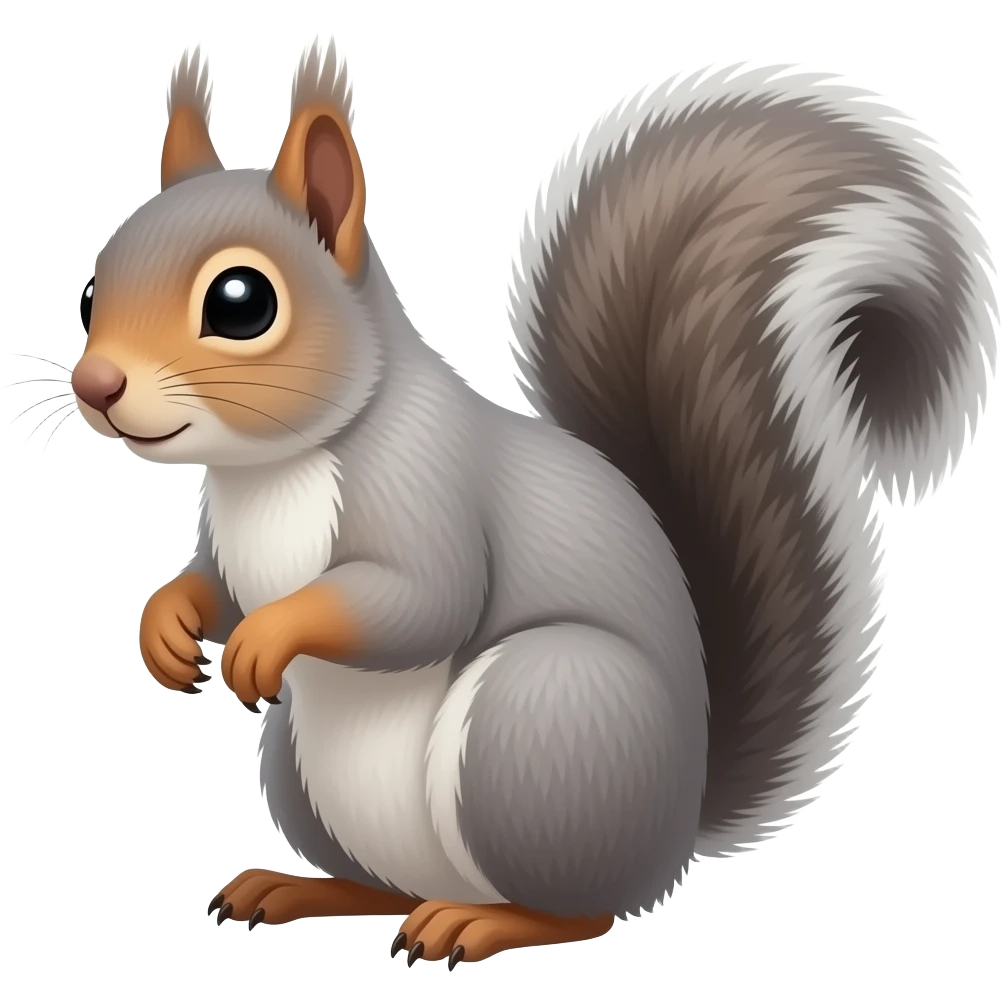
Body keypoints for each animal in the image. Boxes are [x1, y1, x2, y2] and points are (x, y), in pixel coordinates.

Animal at [69, 33, 996, 967]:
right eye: (89, 291)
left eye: (241, 302)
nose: (95, 385)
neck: (269, 470)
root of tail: (673, 833)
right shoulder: (229, 543)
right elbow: (213, 585)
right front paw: (165, 628)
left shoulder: (426, 487)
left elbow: (421, 601)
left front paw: (265, 637)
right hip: (303, 768)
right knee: (382, 885)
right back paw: (301, 887)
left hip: (534, 719)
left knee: (581, 909)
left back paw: (480, 922)